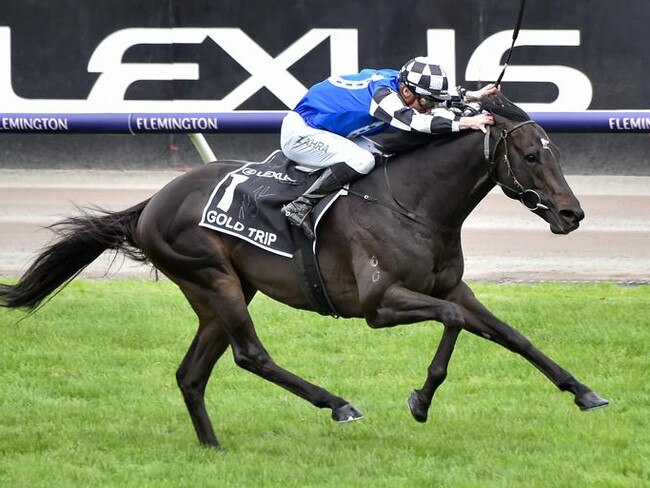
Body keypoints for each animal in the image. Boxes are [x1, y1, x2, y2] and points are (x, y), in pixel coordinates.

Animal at [0, 92, 608, 450]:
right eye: (531, 156)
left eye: (556, 153)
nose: (572, 214)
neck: (411, 202)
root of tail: (152, 202)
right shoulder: (379, 304)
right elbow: (453, 323)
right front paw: (420, 399)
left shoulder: (451, 286)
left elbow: (512, 336)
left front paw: (583, 392)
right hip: (214, 278)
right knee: (251, 355)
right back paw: (337, 404)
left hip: (219, 292)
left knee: (191, 373)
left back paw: (213, 448)